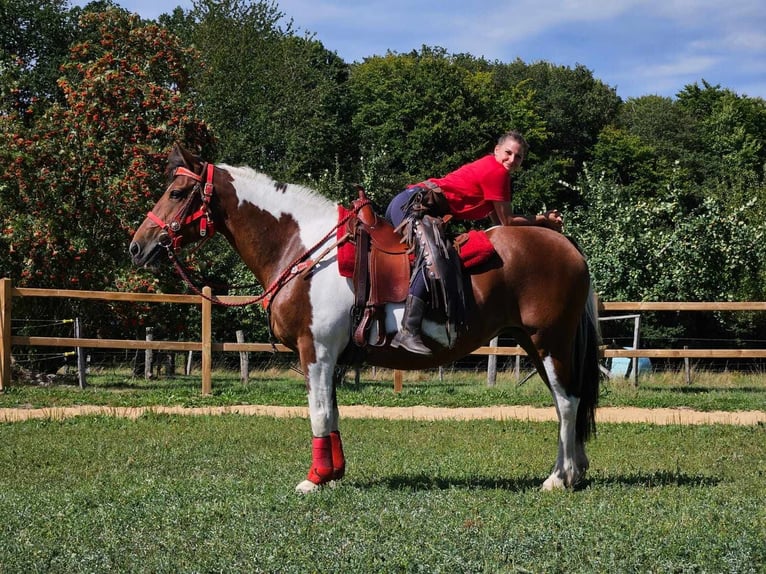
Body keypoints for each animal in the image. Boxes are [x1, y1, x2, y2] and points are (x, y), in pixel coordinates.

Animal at [129, 145, 604, 496]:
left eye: (176, 193)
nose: (137, 246)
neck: (302, 250)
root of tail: (567, 245)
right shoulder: (330, 357)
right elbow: (333, 413)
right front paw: (334, 474)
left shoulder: (316, 351)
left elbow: (319, 413)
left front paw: (314, 480)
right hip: (535, 344)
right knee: (566, 402)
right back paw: (574, 471)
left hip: (550, 342)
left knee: (567, 403)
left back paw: (559, 478)